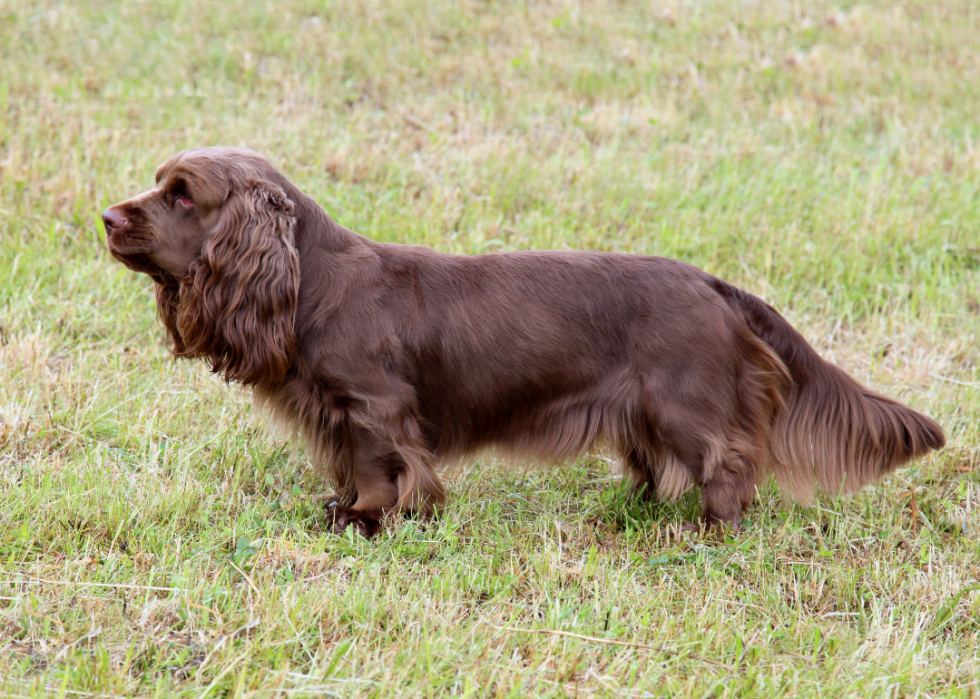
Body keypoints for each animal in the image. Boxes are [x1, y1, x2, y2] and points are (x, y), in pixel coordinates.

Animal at [105, 149, 940, 536]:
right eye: (158, 183)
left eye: (183, 194)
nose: (107, 216)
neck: (311, 282)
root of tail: (713, 283)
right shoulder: (335, 412)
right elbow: (346, 464)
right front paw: (345, 507)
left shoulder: (374, 407)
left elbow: (379, 467)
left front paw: (367, 519)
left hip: (684, 402)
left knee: (727, 462)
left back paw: (705, 530)